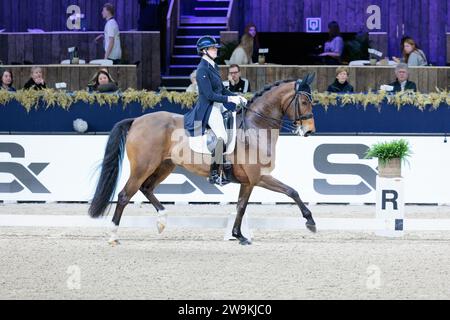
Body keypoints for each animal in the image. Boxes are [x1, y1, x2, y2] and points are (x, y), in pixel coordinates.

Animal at [89, 74, 316, 246]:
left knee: (147, 188)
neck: (255, 127)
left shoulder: (248, 181)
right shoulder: (259, 177)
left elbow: (241, 206)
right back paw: (113, 236)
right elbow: (292, 191)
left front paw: (238, 235)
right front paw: (310, 222)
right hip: (142, 167)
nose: (309, 131)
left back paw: (162, 221)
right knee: (125, 195)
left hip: (164, 166)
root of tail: (137, 120)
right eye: (304, 102)